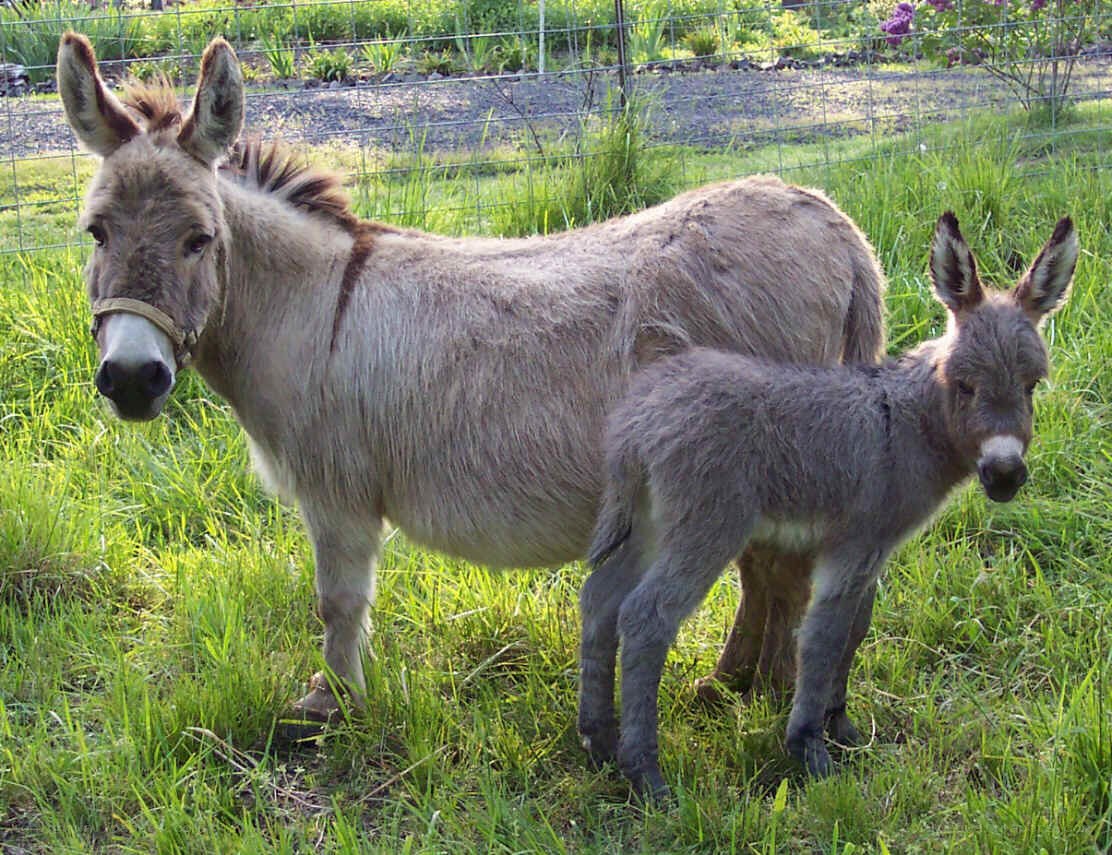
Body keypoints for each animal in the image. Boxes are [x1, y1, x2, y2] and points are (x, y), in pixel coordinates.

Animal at [57, 33, 886, 726]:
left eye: (198, 240)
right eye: (95, 233)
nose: (131, 378)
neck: (310, 304)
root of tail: (837, 227)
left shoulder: (338, 494)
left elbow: (338, 601)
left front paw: (334, 703)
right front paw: (340, 697)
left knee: (777, 573)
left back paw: (750, 692)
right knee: (772, 574)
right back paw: (743, 685)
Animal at [582, 212, 1076, 799]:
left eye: (1032, 386)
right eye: (965, 386)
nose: (1004, 475)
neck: (909, 423)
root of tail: (640, 417)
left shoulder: (874, 551)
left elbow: (857, 625)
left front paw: (840, 723)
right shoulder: (854, 544)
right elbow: (823, 634)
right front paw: (808, 748)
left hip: (650, 523)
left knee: (600, 597)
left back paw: (598, 741)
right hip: (709, 527)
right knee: (646, 616)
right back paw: (646, 773)